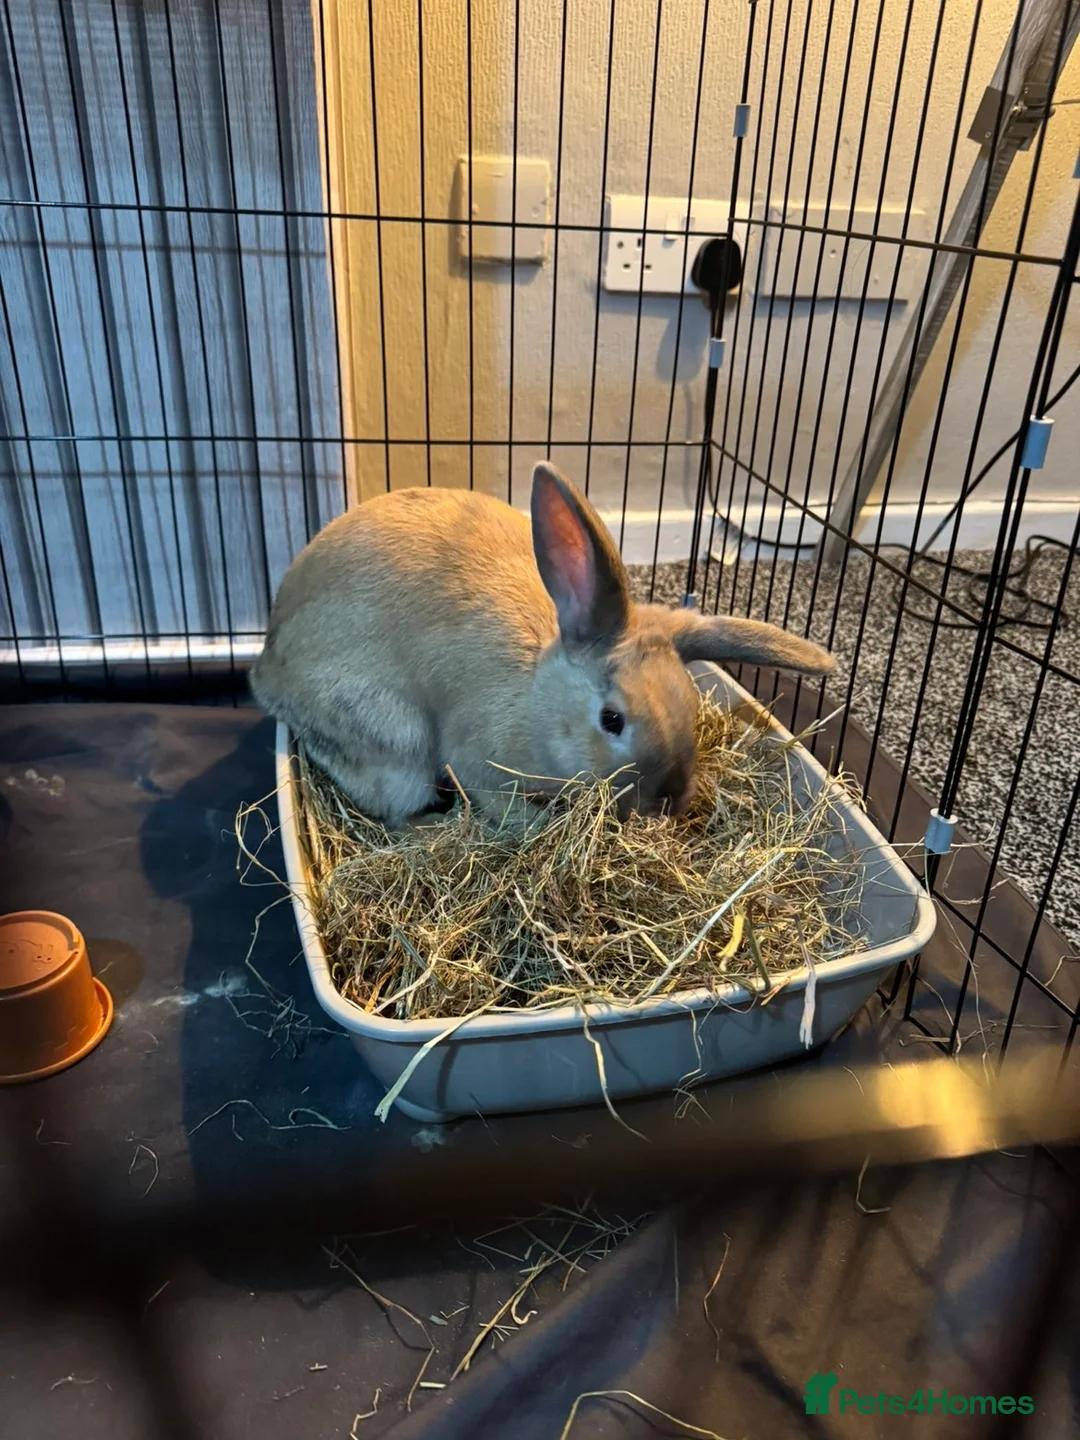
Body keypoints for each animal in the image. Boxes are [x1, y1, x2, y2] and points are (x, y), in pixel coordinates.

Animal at [250, 461, 835, 828]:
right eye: (612, 720)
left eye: (692, 706)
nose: (666, 803)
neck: (538, 700)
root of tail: (267, 668)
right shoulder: (476, 762)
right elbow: (494, 798)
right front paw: (534, 827)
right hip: (394, 744)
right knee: (397, 813)